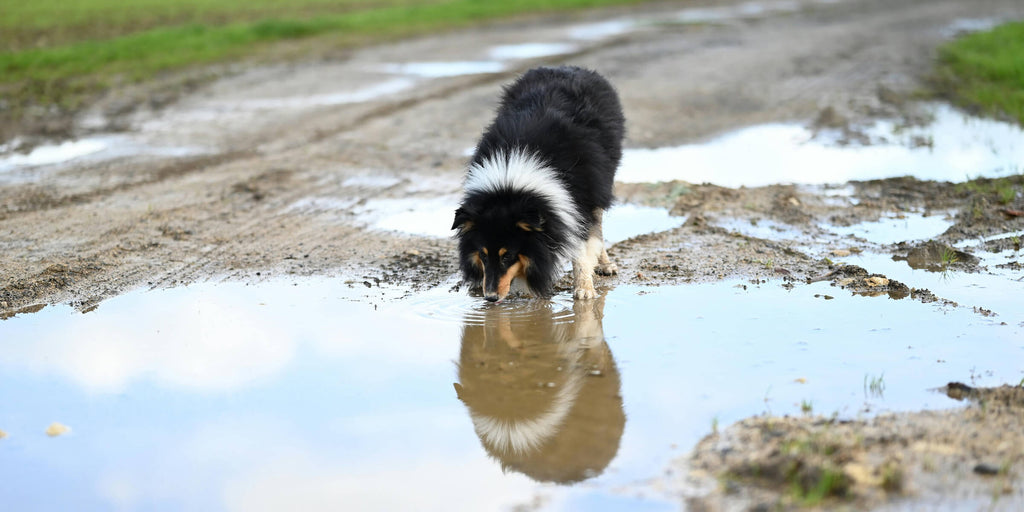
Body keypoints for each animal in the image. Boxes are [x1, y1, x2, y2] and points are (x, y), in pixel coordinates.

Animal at [454, 66, 622, 301]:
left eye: (508, 257)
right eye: (483, 255)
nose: (491, 298)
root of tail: (568, 67)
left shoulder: (579, 200)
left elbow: (582, 245)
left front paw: (584, 290)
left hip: (602, 182)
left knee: (597, 227)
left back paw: (605, 265)